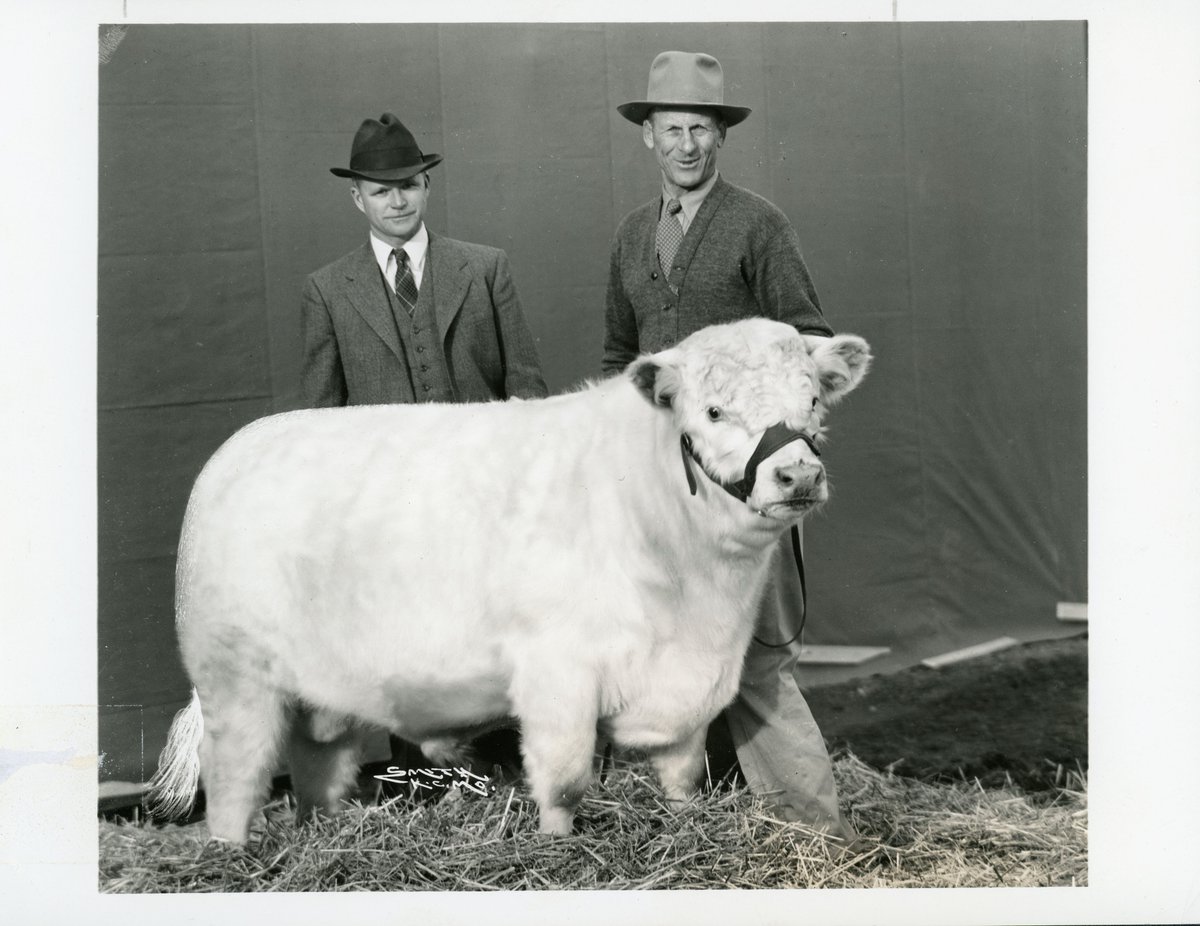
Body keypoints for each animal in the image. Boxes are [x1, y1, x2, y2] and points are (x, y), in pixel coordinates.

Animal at [145, 318, 871, 840]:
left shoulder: (690, 683)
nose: (798, 475)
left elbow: (684, 775)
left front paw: (688, 828)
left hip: (322, 701)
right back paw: (233, 853)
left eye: (811, 398)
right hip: (234, 680)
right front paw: (556, 847)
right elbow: (566, 779)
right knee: (234, 782)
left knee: (316, 777)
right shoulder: (557, 672)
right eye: (714, 411)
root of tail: (236, 449)